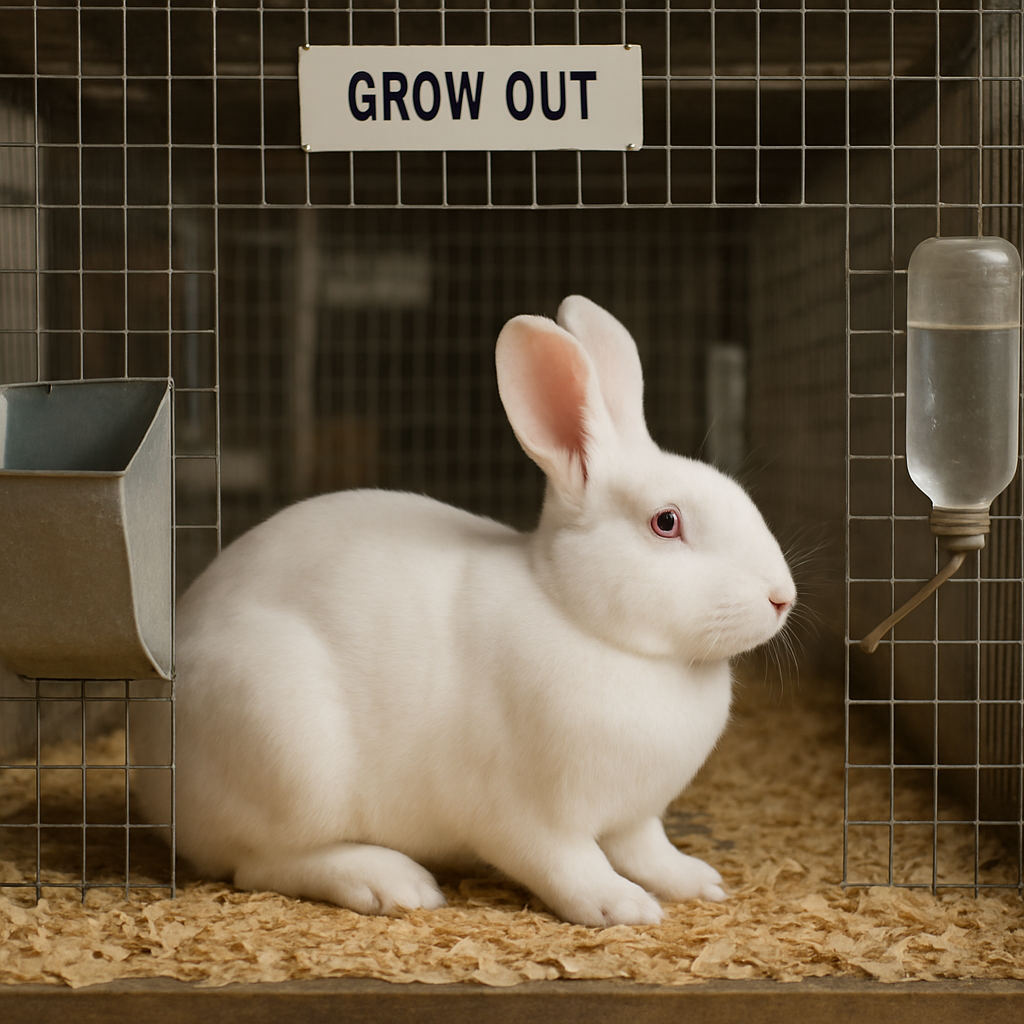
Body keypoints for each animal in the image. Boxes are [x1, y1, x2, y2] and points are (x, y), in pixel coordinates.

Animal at [131, 295, 795, 927]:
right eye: (666, 522)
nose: (781, 597)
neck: (583, 620)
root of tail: (154, 777)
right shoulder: (526, 815)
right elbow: (569, 864)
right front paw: (621, 906)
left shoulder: (635, 815)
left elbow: (648, 849)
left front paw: (698, 882)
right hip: (288, 751)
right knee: (259, 863)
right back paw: (391, 882)